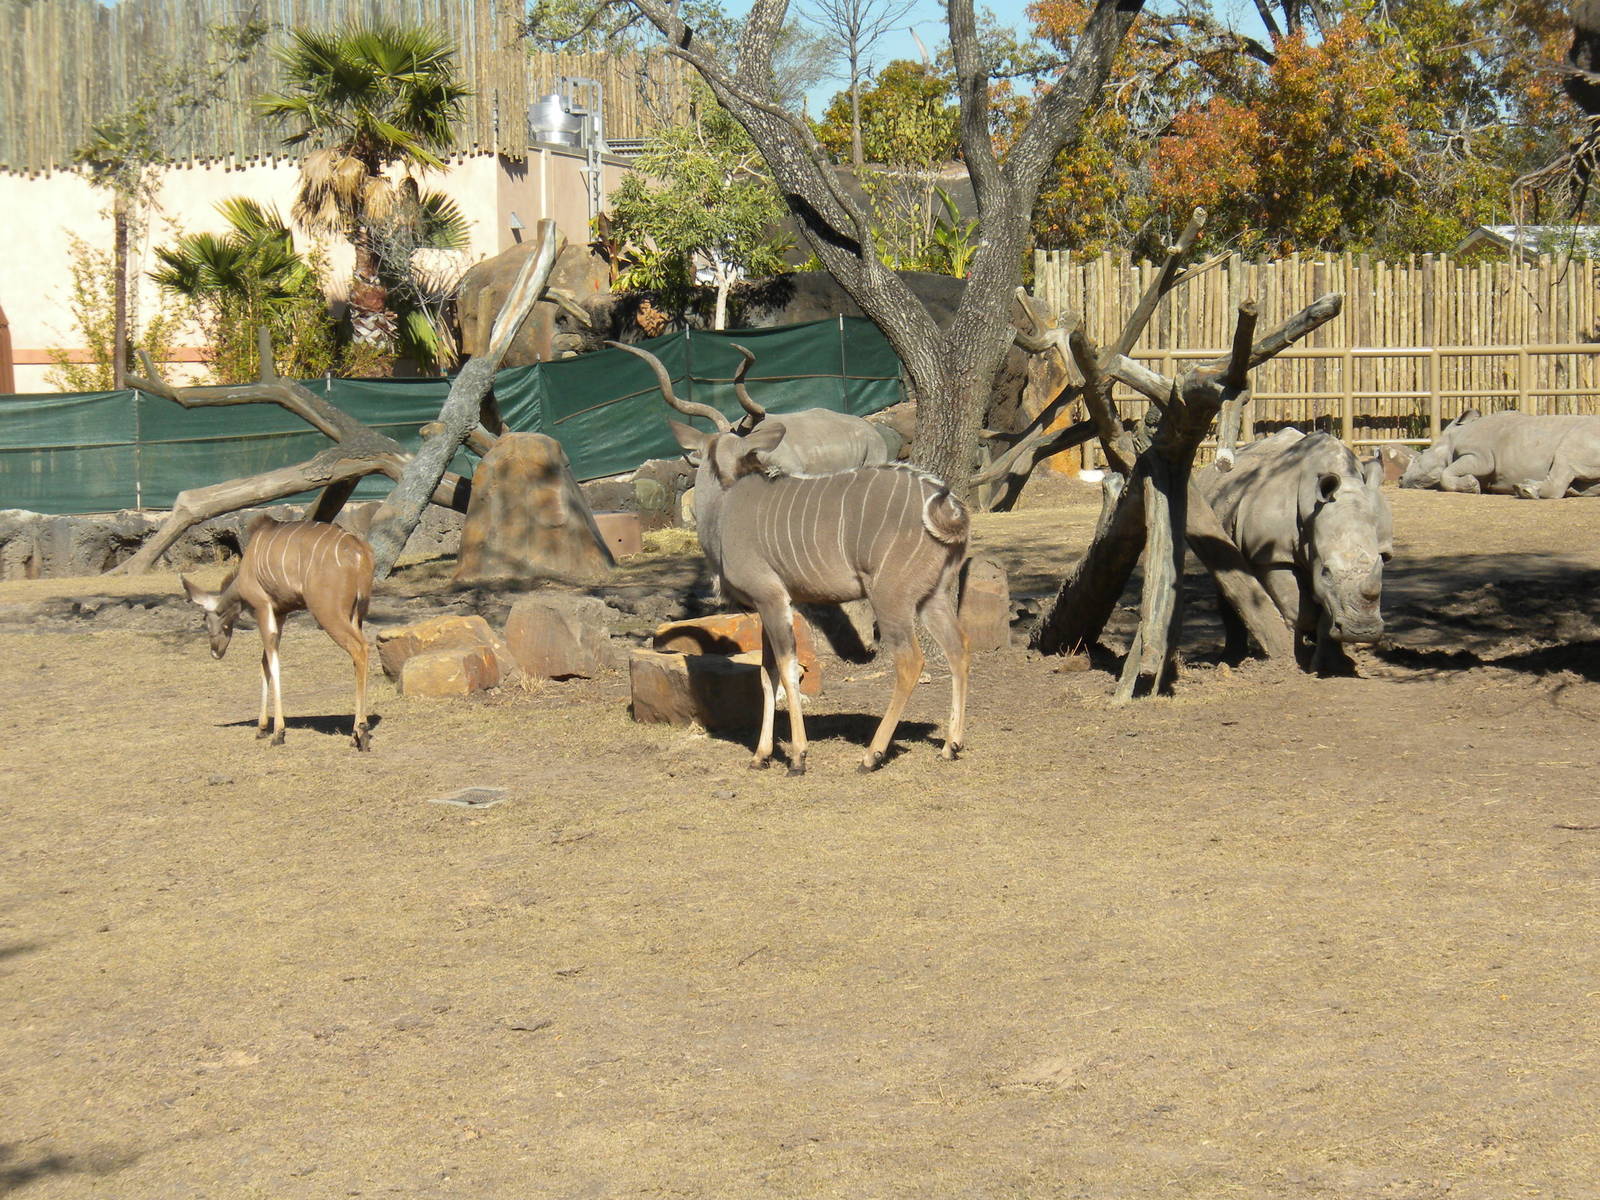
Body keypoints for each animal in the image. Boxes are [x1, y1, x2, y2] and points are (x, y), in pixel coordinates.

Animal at [1198, 429, 1393, 673]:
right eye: (1326, 572)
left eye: (1382, 564)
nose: (1362, 632)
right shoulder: (1273, 556)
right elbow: (1300, 610)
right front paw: (1300, 659)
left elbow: (1325, 609)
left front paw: (1333, 666)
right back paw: (1232, 659)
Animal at [1398, 408, 1600, 498]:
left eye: (1422, 455)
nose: (1400, 479)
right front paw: (1473, 485)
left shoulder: (1480, 456)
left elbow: (1445, 474)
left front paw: (1471, 486)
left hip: (1584, 435)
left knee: (1565, 460)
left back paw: (1525, 490)